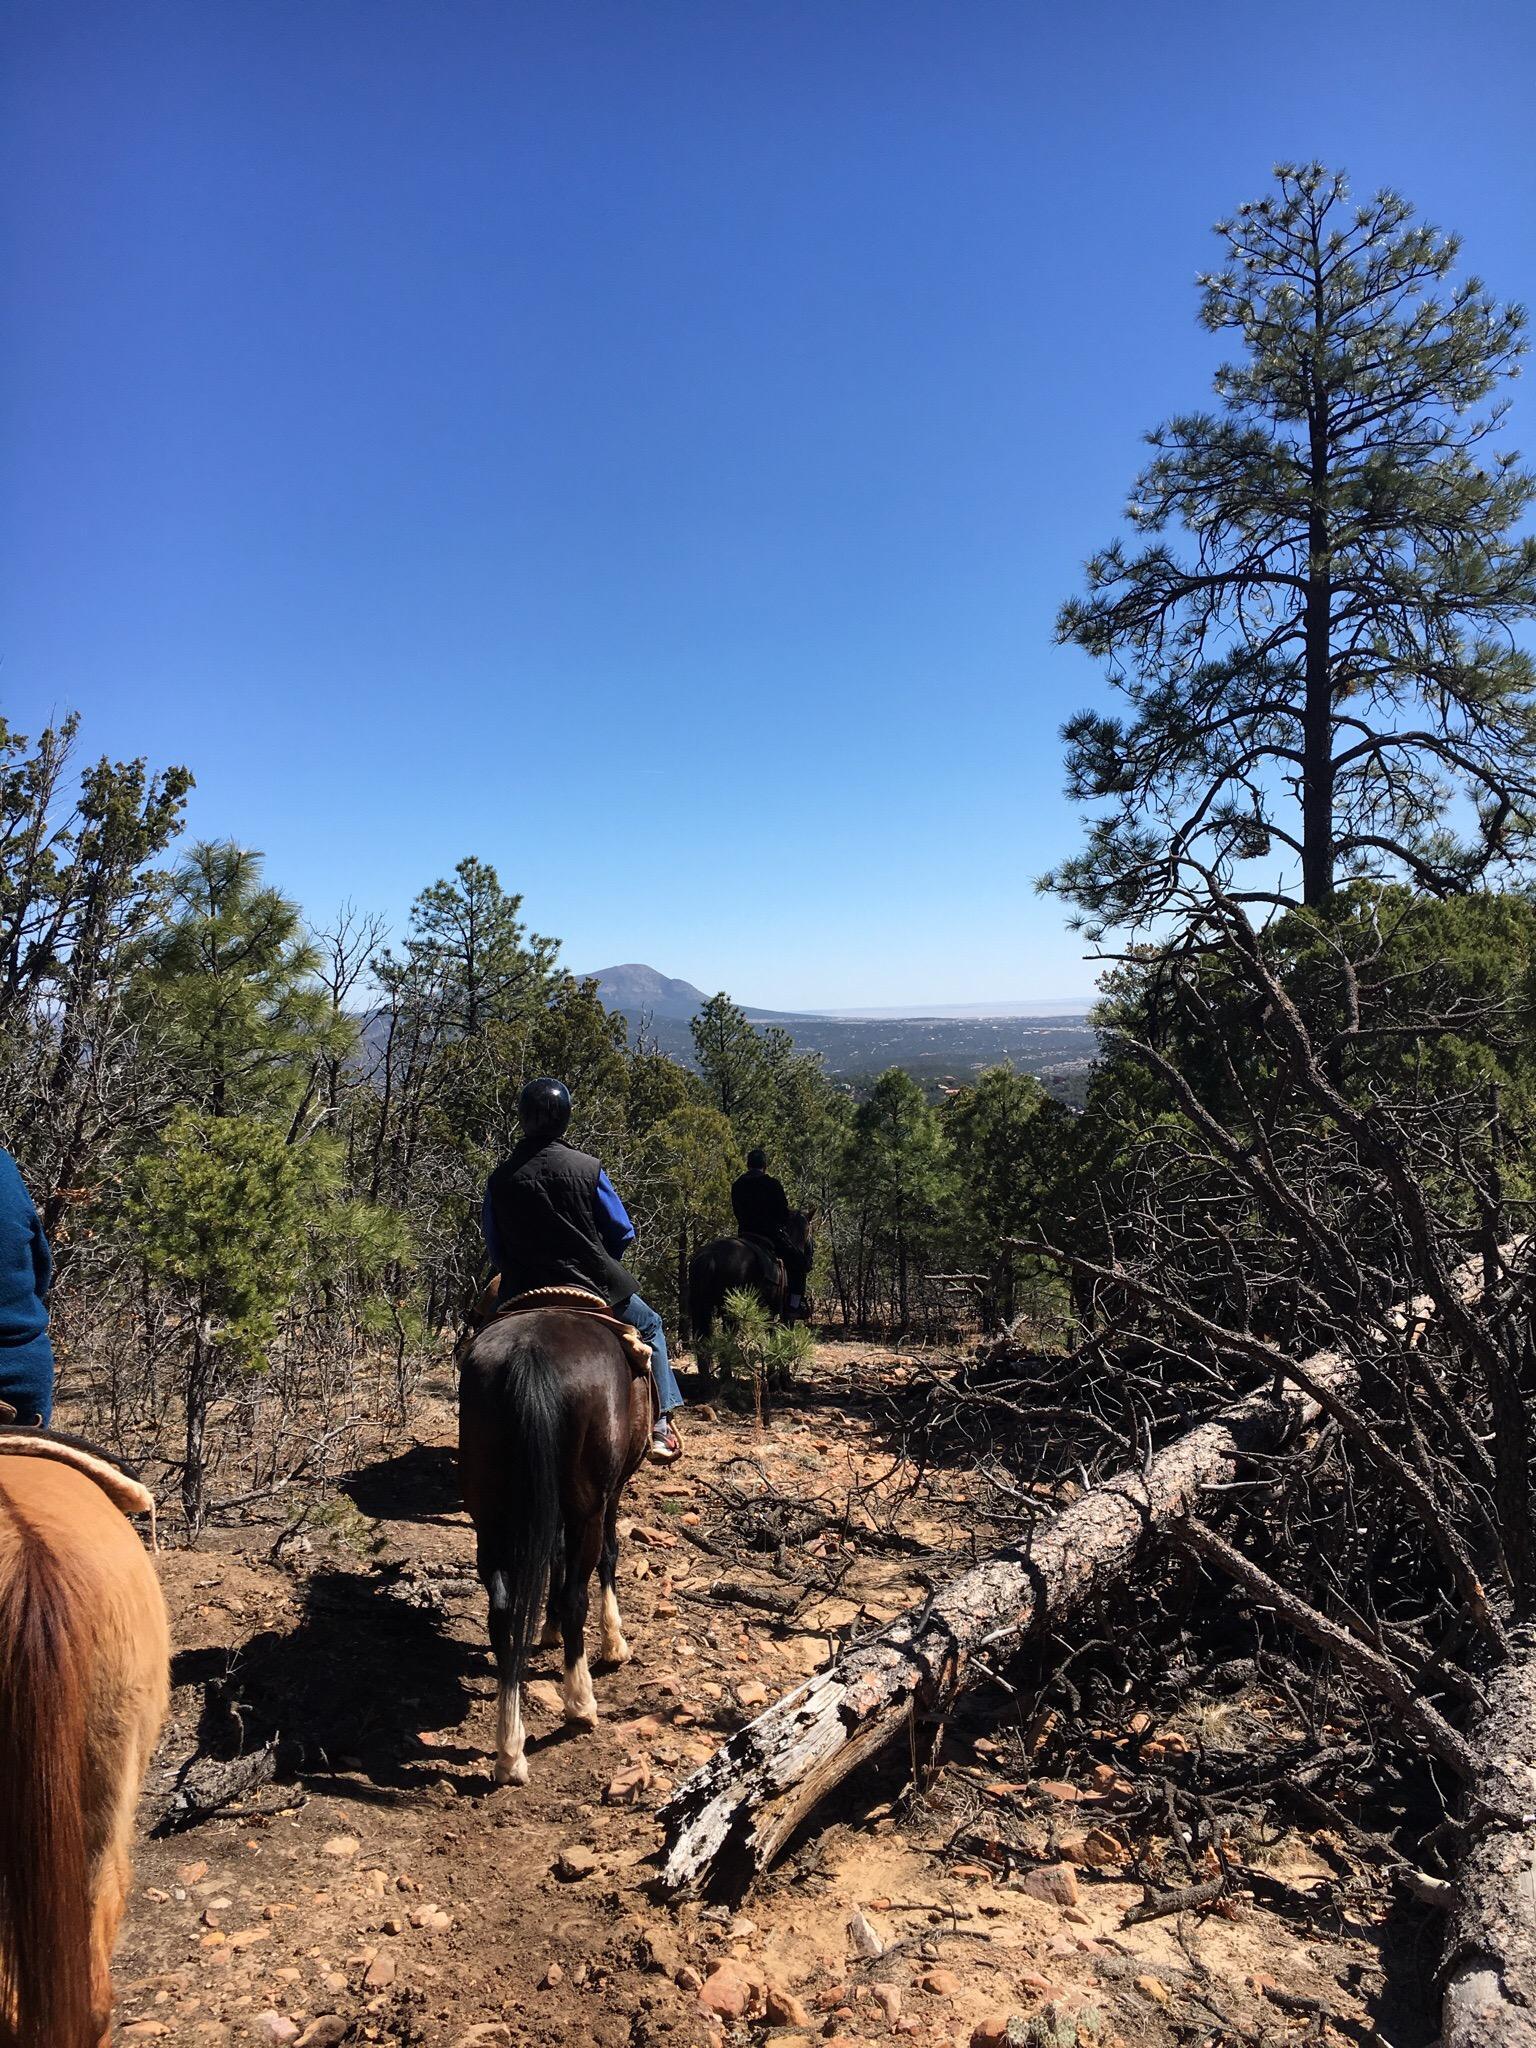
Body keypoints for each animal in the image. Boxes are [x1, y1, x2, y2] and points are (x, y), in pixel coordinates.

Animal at [456, 1302, 651, 1785]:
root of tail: (529, 1356)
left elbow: (554, 1556)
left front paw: (548, 1628)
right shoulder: (610, 1494)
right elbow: (608, 1557)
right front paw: (614, 1643)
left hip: (490, 1516)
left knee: (503, 1612)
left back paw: (510, 1752)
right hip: (588, 1504)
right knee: (575, 1594)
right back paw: (580, 1703)